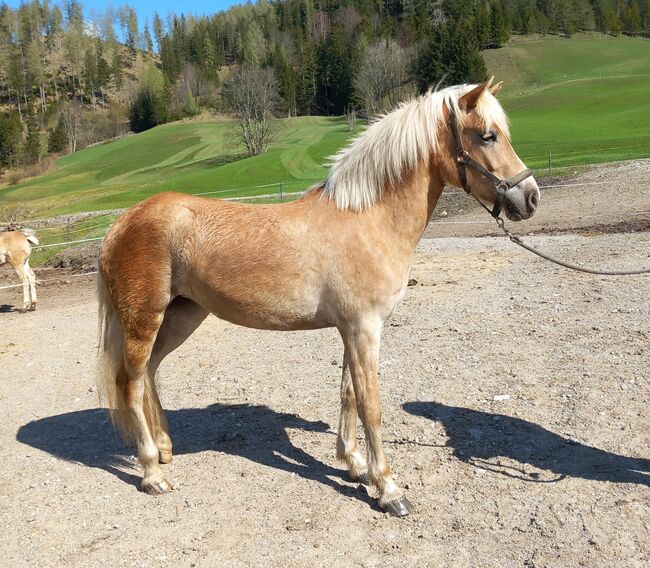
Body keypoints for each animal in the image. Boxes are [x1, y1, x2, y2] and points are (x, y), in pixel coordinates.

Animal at [98, 77, 540, 516]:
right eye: (487, 136)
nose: (530, 197)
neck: (368, 219)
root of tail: (123, 221)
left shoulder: (352, 329)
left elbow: (348, 393)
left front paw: (354, 464)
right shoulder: (364, 328)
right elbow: (371, 405)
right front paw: (388, 488)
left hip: (183, 315)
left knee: (151, 372)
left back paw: (165, 447)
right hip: (144, 321)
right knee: (131, 385)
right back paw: (152, 472)